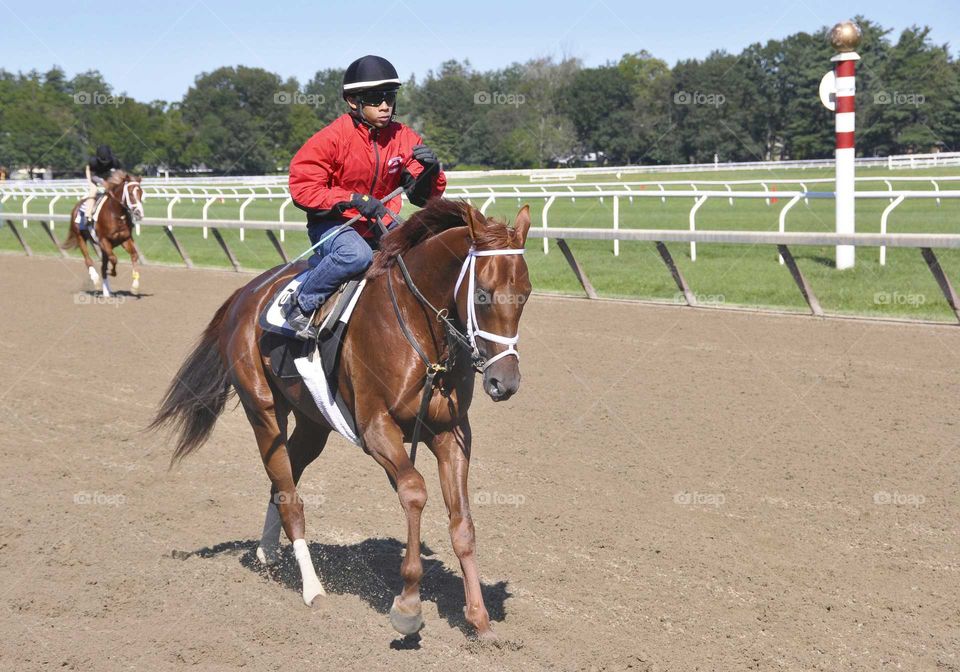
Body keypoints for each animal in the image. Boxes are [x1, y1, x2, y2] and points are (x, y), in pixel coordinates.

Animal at [154, 200, 536, 640]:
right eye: (483, 294)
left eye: (526, 293)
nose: (504, 381)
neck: (419, 329)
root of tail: (245, 293)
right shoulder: (376, 429)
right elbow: (414, 492)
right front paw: (408, 604)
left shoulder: (452, 433)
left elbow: (463, 523)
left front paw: (478, 617)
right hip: (263, 411)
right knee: (289, 493)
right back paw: (312, 589)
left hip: (312, 422)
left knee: (284, 478)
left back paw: (267, 550)